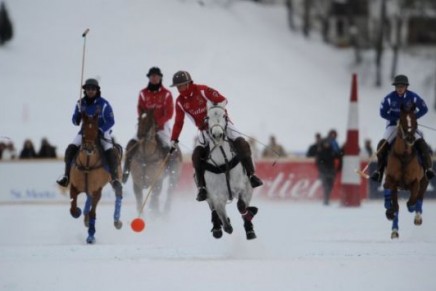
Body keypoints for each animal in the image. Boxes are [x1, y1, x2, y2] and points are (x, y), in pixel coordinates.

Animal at [69, 113, 122, 244]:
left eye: (96, 132)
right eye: (83, 131)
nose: (89, 148)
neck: (87, 165)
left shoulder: (98, 190)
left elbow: (93, 213)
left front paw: (91, 236)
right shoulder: (74, 186)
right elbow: (73, 209)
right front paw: (78, 212)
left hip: (116, 176)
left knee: (118, 190)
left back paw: (117, 221)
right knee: (88, 198)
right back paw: (85, 217)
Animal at [202, 104, 258, 241]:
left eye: (224, 115)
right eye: (207, 117)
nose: (217, 134)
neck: (223, 162)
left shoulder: (244, 187)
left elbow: (242, 206)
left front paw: (250, 223)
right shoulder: (216, 196)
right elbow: (226, 225)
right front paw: (223, 224)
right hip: (207, 195)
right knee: (213, 210)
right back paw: (217, 228)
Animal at [384, 104, 428, 240]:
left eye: (415, 121)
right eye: (402, 121)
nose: (410, 138)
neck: (403, 156)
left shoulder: (415, 182)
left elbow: (412, 200)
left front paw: (412, 208)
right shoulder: (392, 181)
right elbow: (395, 206)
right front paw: (391, 215)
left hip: (425, 180)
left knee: (420, 196)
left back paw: (418, 217)